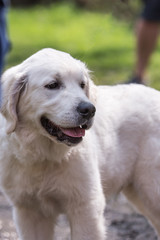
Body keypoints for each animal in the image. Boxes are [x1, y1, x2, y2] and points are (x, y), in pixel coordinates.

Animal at [0, 47, 160, 239]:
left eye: (82, 85)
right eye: (53, 85)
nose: (89, 109)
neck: (44, 155)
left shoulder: (86, 207)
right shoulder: (28, 211)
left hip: (151, 186)